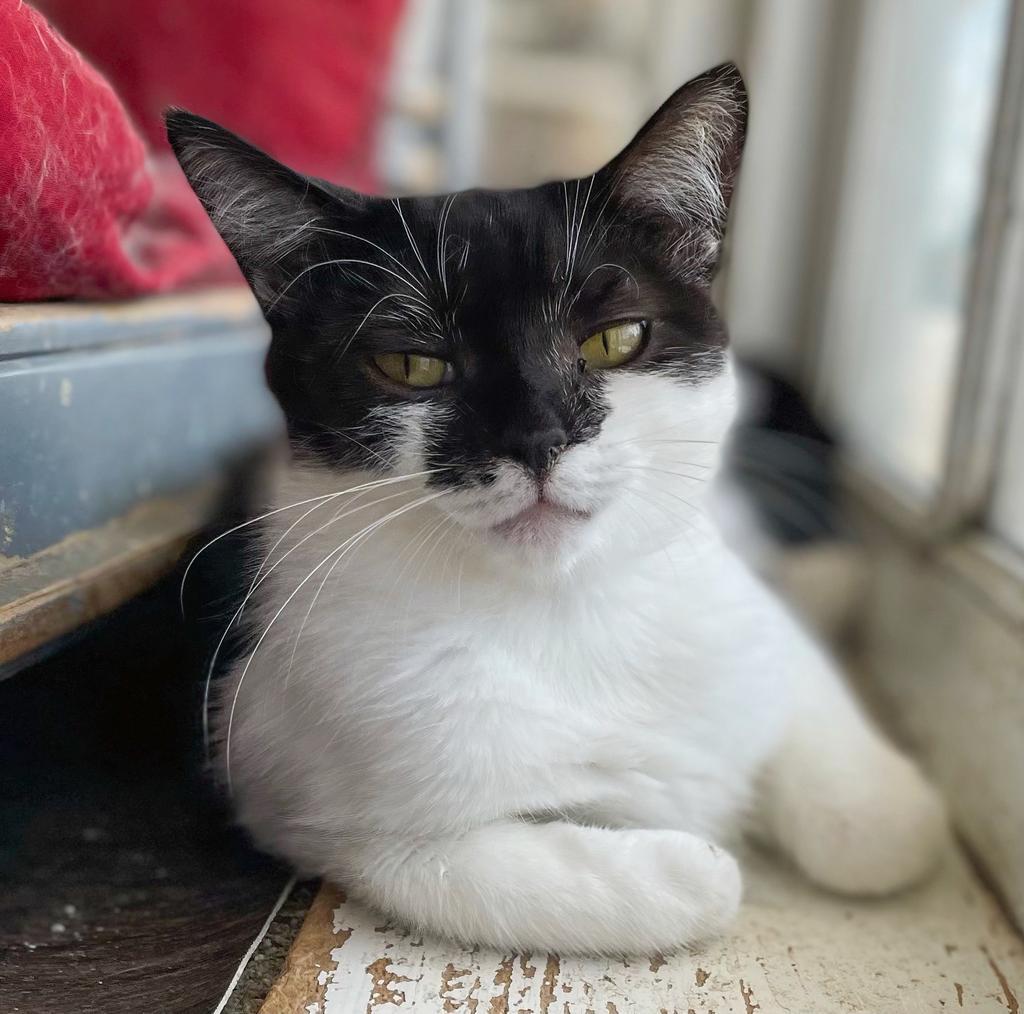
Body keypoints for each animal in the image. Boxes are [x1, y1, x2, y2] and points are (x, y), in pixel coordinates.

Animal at [165, 65, 942, 958]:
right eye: (412, 364)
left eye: (615, 340)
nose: (539, 440)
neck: (568, 604)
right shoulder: (309, 791)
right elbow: (495, 878)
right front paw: (692, 871)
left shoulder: (735, 610)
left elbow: (853, 798)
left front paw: (889, 808)